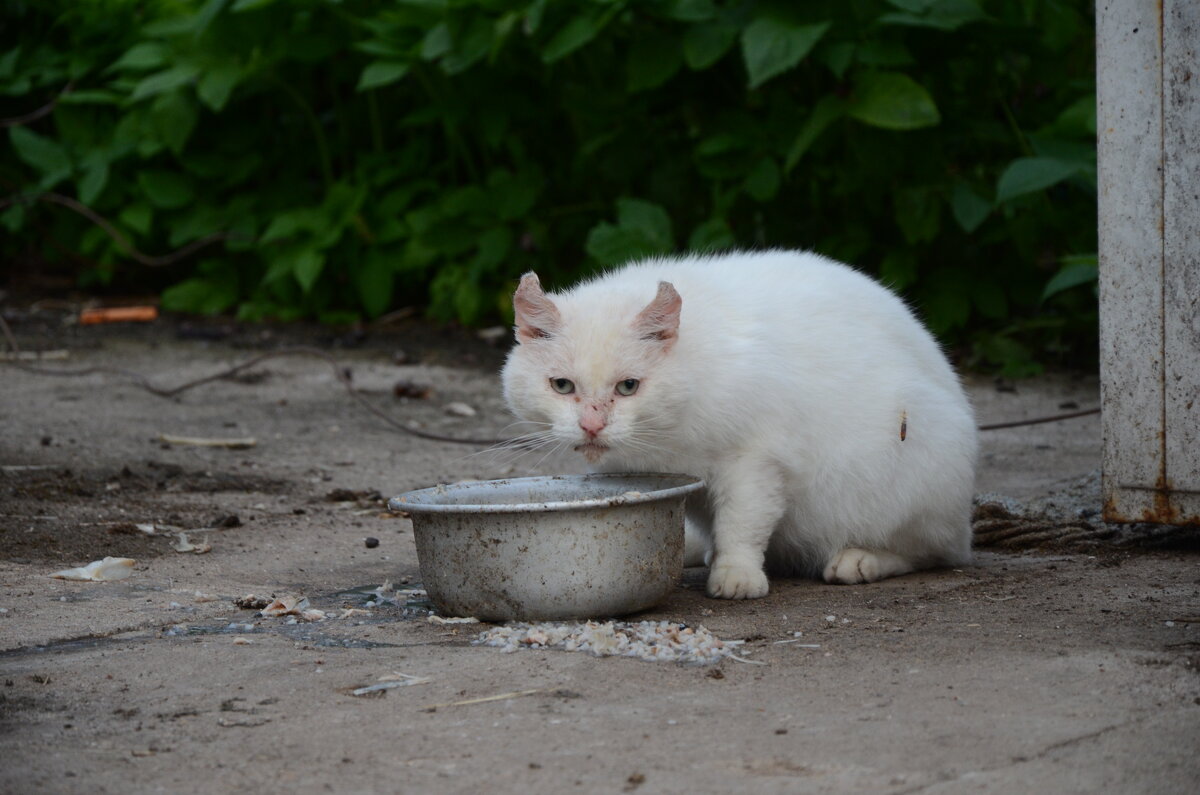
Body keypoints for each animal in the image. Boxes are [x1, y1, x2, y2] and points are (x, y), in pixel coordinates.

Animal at [496, 252, 974, 600]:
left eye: (628, 387)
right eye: (562, 386)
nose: (592, 424)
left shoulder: (755, 461)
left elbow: (741, 522)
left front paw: (737, 575)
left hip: (914, 455)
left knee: (933, 551)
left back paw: (860, 560)